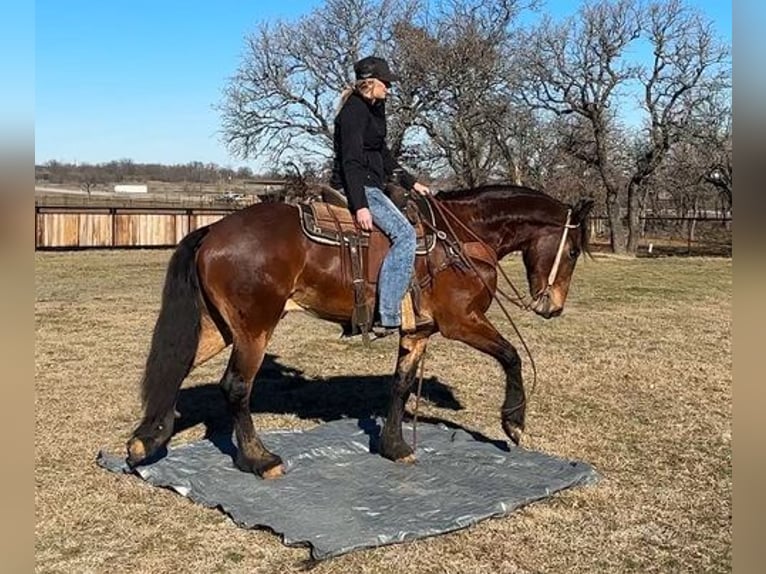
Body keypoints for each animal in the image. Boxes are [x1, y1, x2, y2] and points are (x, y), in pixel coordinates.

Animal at [126, 187, 596, 480]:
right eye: (573, 251)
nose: (553, 307)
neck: (462, 237)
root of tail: (213, 230)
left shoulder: (419, 331)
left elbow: (402, 384)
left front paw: (395, 446)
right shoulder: (462, 322)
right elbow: (511, 355)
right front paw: (513, 422)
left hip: (218, 327)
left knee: (176, 366)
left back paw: (146, 440)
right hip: (254, 329)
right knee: (236, 387)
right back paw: (259, 459)